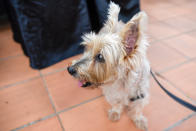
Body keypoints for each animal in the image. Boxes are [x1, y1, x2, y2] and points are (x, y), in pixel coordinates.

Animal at [67, 2, 150, 131]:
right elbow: (116, 103)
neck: (121, 83)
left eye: (100, 57)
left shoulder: (140, 96)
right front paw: (115, 112)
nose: (70, 69)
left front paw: (139, 120)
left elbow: (137, 109)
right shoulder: (112, 93)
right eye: (87, 48)